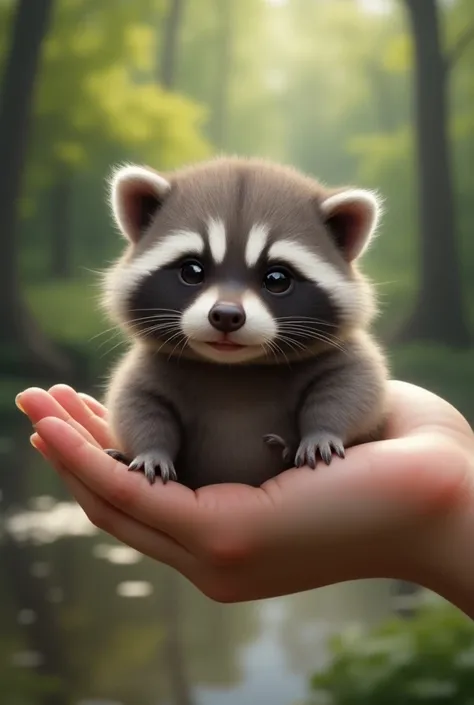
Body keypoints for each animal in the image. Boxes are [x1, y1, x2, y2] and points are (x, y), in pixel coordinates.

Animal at [102, 156, 386, 486]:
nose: (226, 315)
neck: (236, 366)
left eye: (277, 279)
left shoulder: (343, 353)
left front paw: (322, 433)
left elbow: (354, 389)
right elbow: (136, 403)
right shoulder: (153, 364)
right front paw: (151, 452)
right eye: (192, 271)